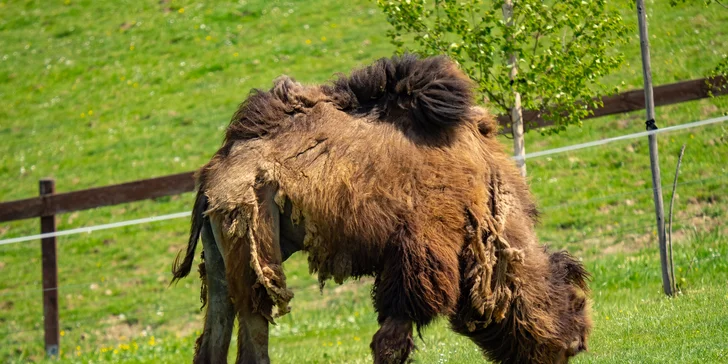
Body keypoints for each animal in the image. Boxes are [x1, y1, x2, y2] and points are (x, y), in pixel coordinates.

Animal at [171, 54, 592, 364]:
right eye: (576, 302)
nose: (577, 342)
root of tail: (213, 174)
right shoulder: (419, 255)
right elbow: (390, 341)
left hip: (219, 256)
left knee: (214, 334)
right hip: (254, 237)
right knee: (253, 327)